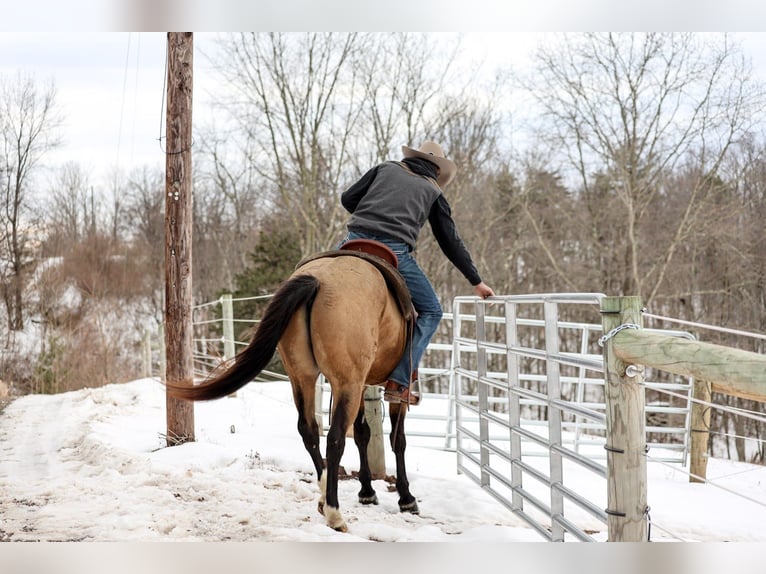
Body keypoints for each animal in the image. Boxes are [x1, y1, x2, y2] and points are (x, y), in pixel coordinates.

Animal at [166, 251, 418, 532]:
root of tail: (318, 280)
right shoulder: (392, 388)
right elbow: (397, 439)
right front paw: (406, 498)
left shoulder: (363, 383)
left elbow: (363, 434)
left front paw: (367, 491)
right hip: (346, 382)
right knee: (335, 438)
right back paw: (335, 513)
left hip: (303, 377)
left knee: (309, 430)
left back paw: (324, 496)